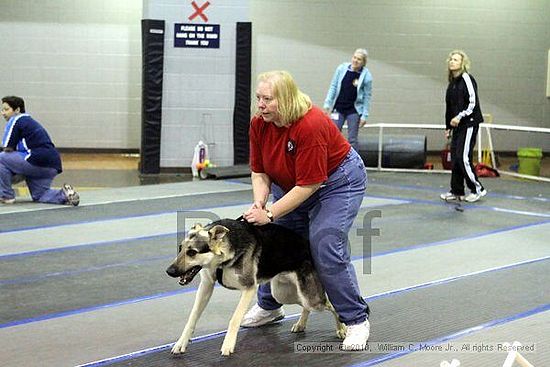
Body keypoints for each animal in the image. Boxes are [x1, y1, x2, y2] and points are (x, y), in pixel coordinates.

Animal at [165, 218, 344, 356]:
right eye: (180, 249)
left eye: (192, 252)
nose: (169, 271)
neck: (222, 257)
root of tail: (307, 245)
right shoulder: (206, 286)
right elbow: (192, 317)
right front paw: (181, 342)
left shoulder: (249, 289)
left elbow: (234, 319)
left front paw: (228, 344)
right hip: (283, 293)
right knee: (306, 306)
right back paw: (301, 324)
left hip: (311, 298)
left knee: (331, 304)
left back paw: (342, 328)